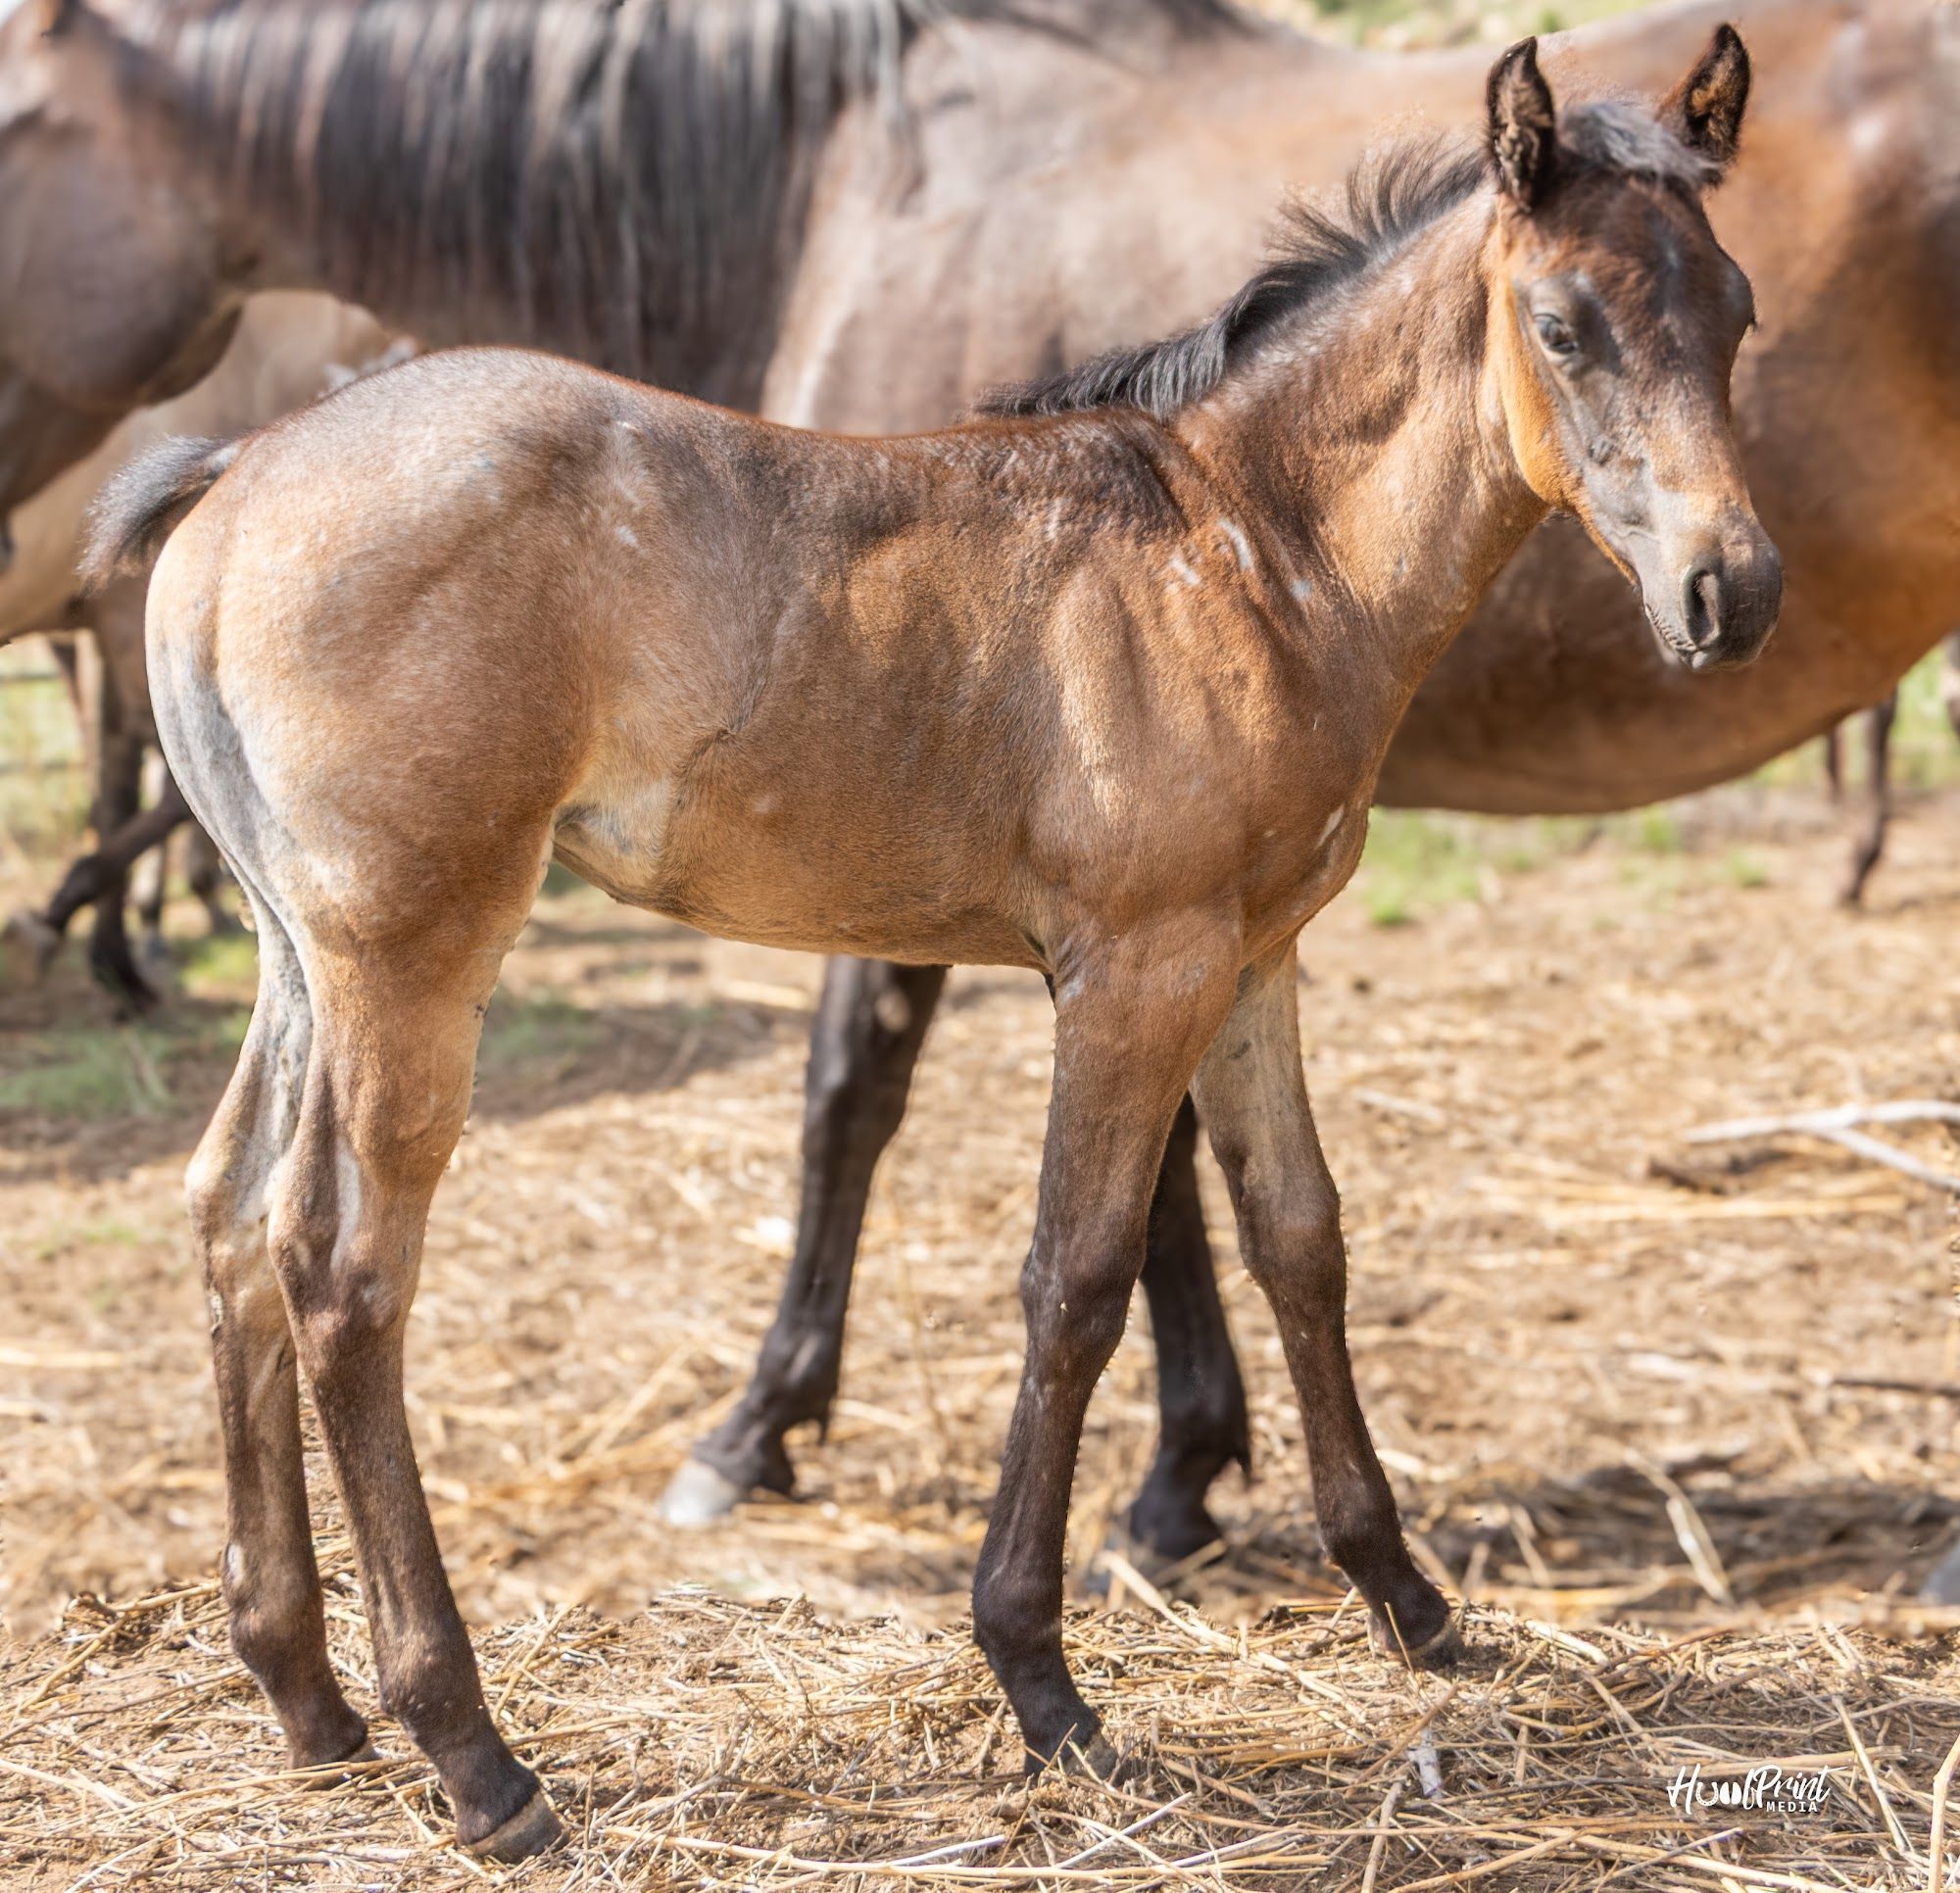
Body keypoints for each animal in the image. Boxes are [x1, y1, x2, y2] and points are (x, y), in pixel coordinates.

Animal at [5, 0, 1953, 1578]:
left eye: (1743, 313)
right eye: (1562, 324)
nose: (1729, 593)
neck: (1243, 548)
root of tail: (236, 474)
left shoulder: (1217, 950)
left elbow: (1273, 1228)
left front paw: (1316, 1558)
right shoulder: (1138, 952)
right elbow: (1055, 1227)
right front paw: (1057, 1555)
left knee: (255, 1236)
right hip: (389, 958)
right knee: (316, 1261)